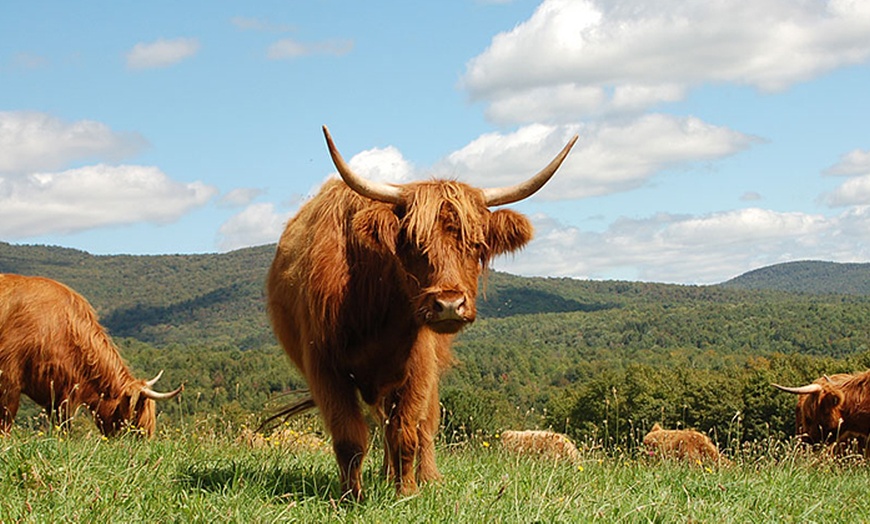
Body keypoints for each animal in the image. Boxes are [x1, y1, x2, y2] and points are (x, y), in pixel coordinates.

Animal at [266, 125, 580, 498]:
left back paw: (426, 477)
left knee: (422, 425)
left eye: (476, 245)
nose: (449, 304)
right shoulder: (324, 367)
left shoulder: (420, 365)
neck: (375, 311)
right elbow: (349, 438)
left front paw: (408, 492)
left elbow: (407, 431)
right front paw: (350, 498)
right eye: (414, 243)